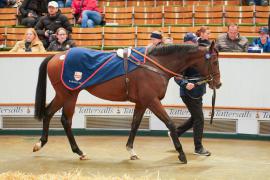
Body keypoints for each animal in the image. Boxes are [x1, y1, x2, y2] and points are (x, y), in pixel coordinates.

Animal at [32, 41, 221, 163]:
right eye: (214, 61)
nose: (218, 83)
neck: (155, 65)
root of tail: (57, 56)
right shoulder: (152, 101)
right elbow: (170, 123)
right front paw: (181, 154)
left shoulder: (142, 102)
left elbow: (135, 124)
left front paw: (131, 150)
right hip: (69, 94)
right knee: (65, 120)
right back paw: (77, 151)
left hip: (65, 95)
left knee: (50, 113)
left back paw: (42, 144)